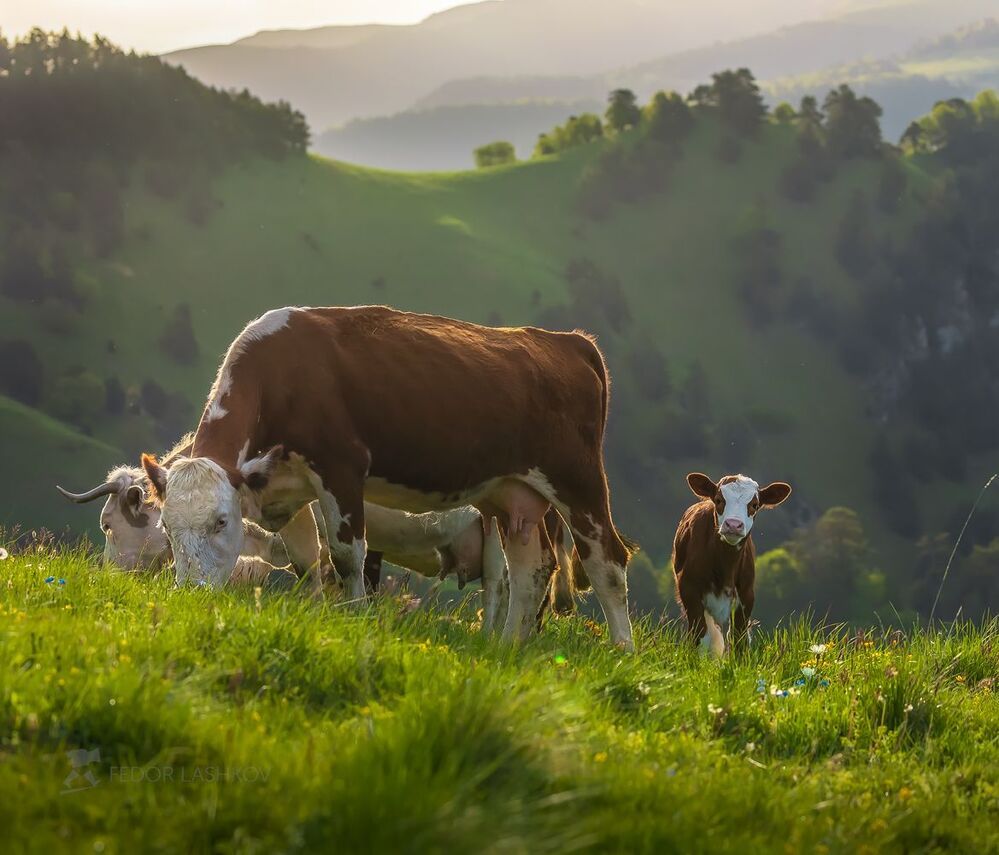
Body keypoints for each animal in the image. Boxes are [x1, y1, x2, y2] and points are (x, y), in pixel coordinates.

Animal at [139, 306, 636, 647]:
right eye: (167, 526)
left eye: (221, 521)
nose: (191, 593)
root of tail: (568, 341)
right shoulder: (285, 487)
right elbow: (306, 561)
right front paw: (313, 612)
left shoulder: (341, 467)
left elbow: (347, 556)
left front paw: (354, 617)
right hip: (512, 494)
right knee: (530, 569)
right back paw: (508, 647)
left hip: (579, 482)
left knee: (606, 562)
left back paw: (621, 651)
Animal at [672, 472, 791, 656]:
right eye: (719, 500)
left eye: (754, 505)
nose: (733, 525)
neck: (725, 566)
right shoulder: (688, 588)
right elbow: (701, 634)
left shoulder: (746, 593)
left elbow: (738, 636)